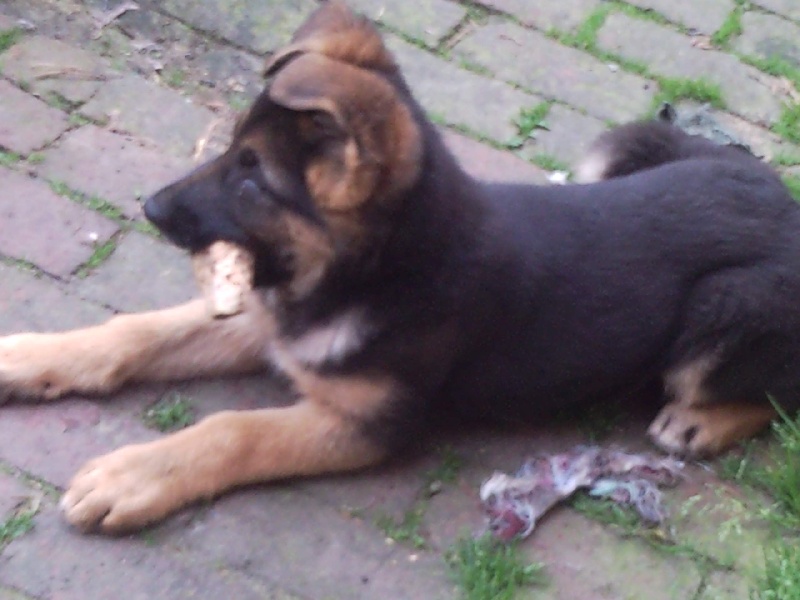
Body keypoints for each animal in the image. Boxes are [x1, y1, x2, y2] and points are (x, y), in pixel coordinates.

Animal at [1, 1, 798, 534]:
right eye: (230, 152)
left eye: (252, 179)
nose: (150, 206)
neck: (375, 268)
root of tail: (785, 202)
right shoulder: (274, 325)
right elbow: (136, 331)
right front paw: (30, 356)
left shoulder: (368, 421)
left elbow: (233, 429)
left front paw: (133, 475)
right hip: (621, 151)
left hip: (724, 309)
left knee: (774, 393)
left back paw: (699, 422)